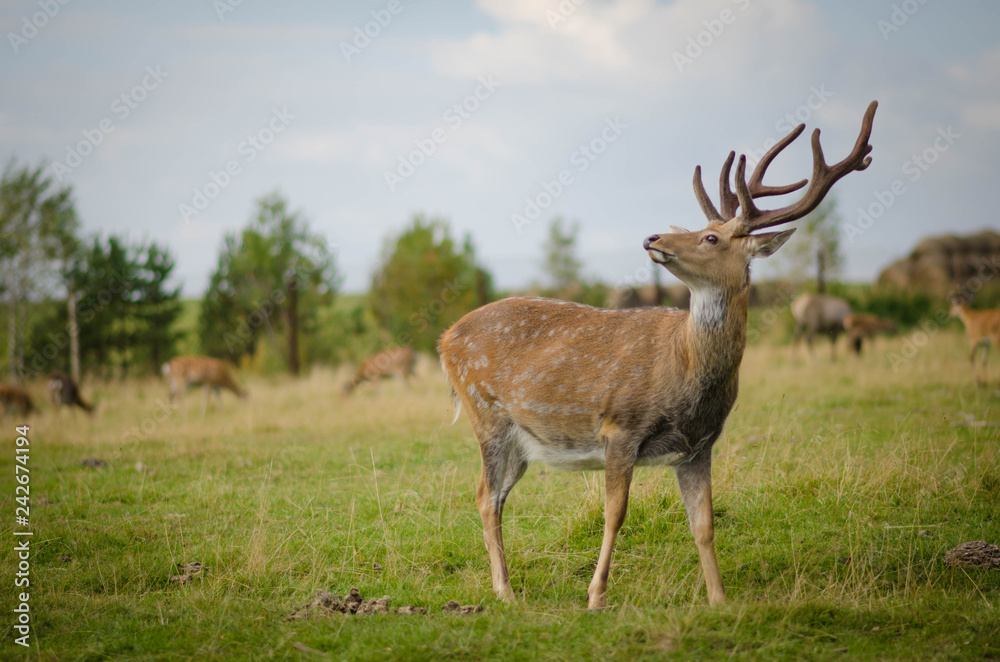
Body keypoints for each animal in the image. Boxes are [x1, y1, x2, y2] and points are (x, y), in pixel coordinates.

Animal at [438, 100, 876, 612]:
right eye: (698, 228)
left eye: (711, 238)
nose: (653, 239)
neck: (684, 371)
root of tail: (445, 339)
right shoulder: (620, 426)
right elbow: (615, 514)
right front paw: (596, 596)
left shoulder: (700, 444)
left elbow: (704, 524)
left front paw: (719, 598)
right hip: (485, 411)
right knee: (485, 496)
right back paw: (505, 592)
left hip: (523, 441)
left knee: (495, 496)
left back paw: (505, 586)